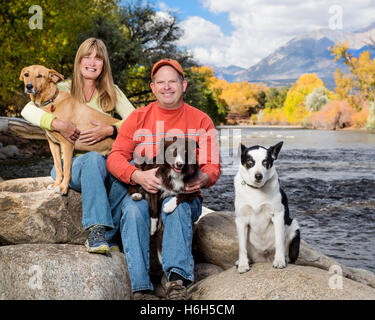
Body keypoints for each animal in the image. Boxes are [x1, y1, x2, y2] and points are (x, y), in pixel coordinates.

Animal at [19, 64, 119, 195]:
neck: (50, 101)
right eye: (26, 74)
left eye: (40, 76)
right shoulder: (54, 145)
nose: (29, 86)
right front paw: (56, 184)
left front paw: (63, 187)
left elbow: (66, 168)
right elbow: (58, 166)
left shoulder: (67, 144)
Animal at [234, 142, 302, 272]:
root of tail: (264, 257)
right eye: (250, 162)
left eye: (265, 162)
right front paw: (243, 264)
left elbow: (279, 241)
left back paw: (284, 259)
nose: (258, 176)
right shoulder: (241, 220)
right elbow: (241, 246)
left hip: (294, 227)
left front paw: (279, 261)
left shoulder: (278, 215)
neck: (256, 190)